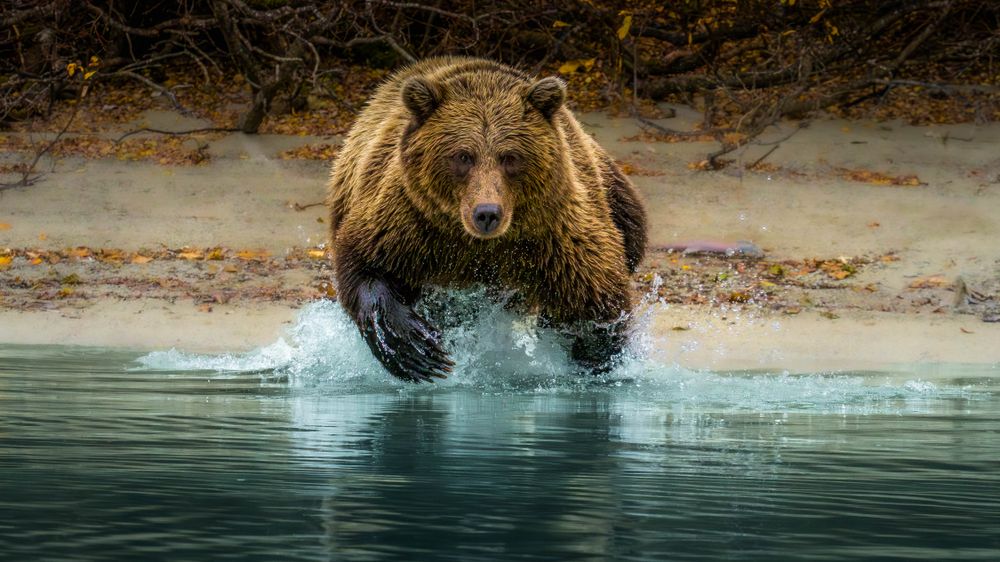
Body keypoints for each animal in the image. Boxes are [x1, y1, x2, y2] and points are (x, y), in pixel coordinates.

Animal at [327, 57, 647, 382]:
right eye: (462, 156)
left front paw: (594, 359)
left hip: (617, 199)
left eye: (510, 157)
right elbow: (365, 265)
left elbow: (596, 302)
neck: (480, 245)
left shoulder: (555, 236)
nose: (487, 213)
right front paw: (415, 349)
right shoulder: (408, 222)